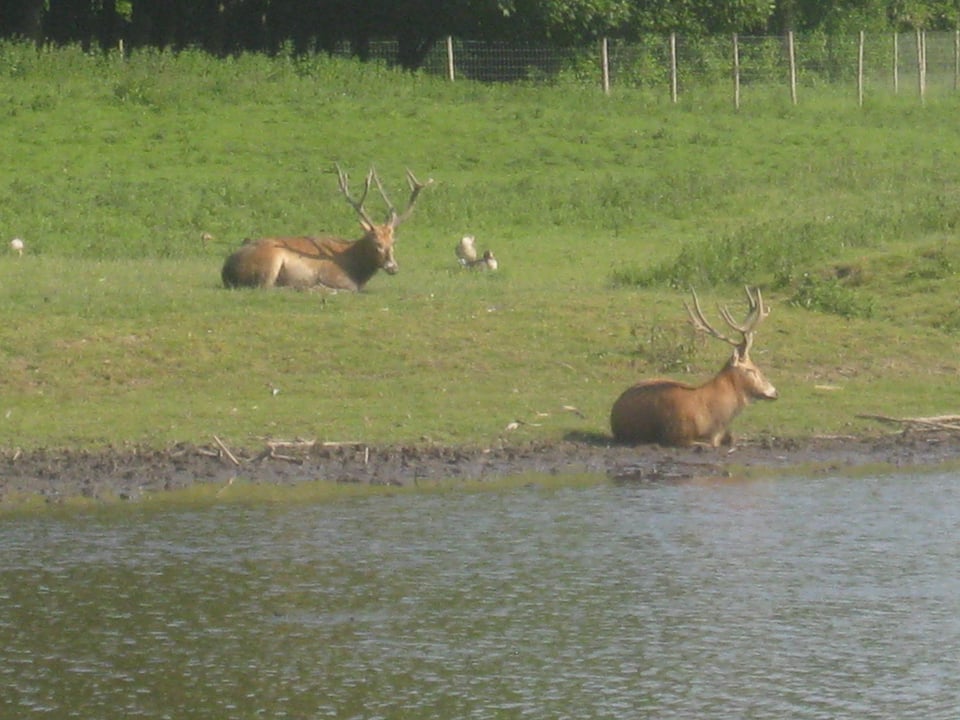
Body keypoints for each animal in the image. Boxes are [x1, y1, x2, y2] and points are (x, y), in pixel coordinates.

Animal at [221, 165, 432, 291]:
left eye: (393, 241)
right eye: (376, 242)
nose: (392, 267)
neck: (356, 268)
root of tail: (226, 271)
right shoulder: (338, 278)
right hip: (270, 261)